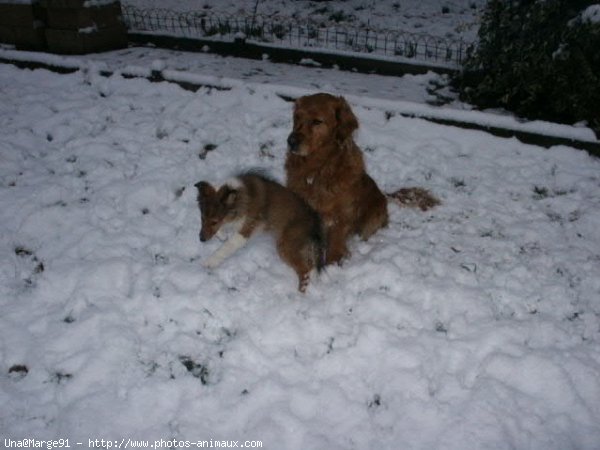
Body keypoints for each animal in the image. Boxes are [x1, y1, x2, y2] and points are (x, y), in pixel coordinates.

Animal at [193, 171, 324, 292]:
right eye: (202, 218)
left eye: (214, 222)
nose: (201, 239)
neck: (240, 198)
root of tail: (315, 221)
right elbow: (221, 233)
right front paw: (223, 235)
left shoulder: (245, 230)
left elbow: (226, 247)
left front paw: (210, 262)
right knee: (310, 265)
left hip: (287, 245)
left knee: (305, 270)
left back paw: (300, 293)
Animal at [286, 93, 390, 266]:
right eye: (297, 117)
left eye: (317, 121)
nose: (291, 142)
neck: (317, 169)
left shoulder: (341, 214)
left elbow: (336, 239)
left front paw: (333, 262)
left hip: (373, 215)